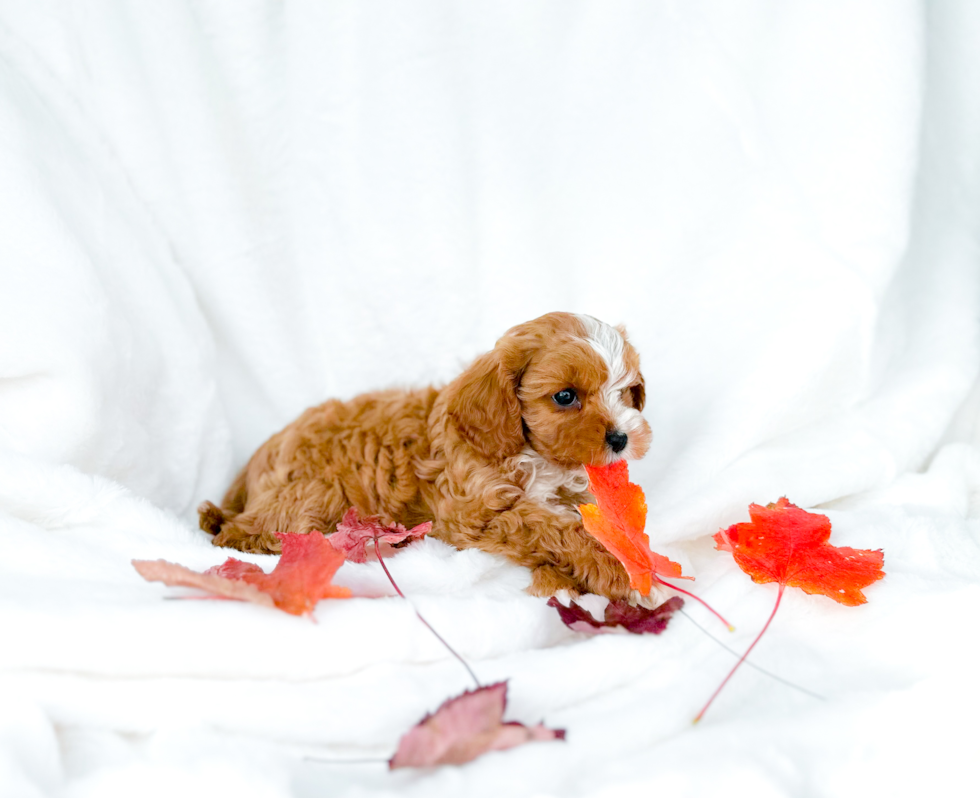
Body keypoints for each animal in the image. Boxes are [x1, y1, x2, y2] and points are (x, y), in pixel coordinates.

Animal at [199, 312, 652, 600]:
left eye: (628, 392)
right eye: (565, 397)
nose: (621, 438)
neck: (535, 459)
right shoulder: (481, 511)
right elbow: (553, 528)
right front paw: (613, 567)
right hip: (311, 492)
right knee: (240, 533)